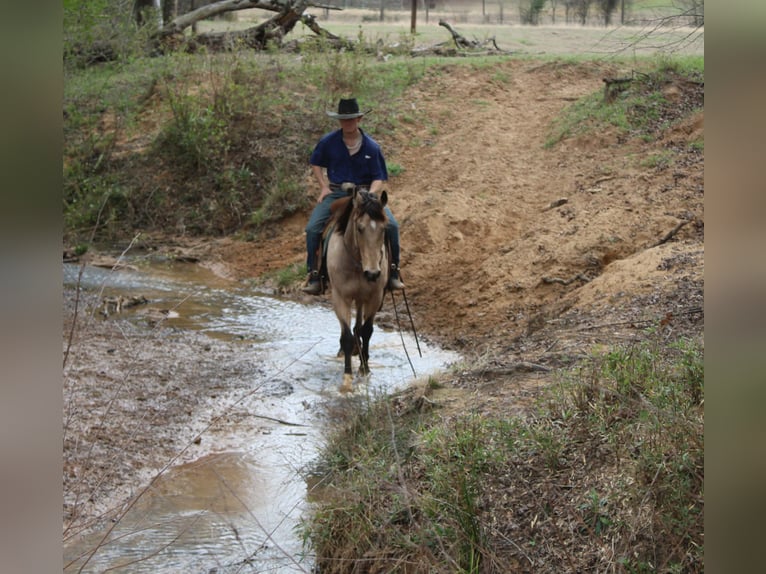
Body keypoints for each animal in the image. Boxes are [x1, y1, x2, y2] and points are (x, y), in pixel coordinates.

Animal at [326, 185, 390, 393]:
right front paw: (347, 377)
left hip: (362, 298)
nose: (372, 273)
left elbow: (367, 330)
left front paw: (365, 368)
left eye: (384, 228)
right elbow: (347, 335)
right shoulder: (340, 298)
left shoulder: (374, 297)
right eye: (360, 228)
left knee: (359, 327)